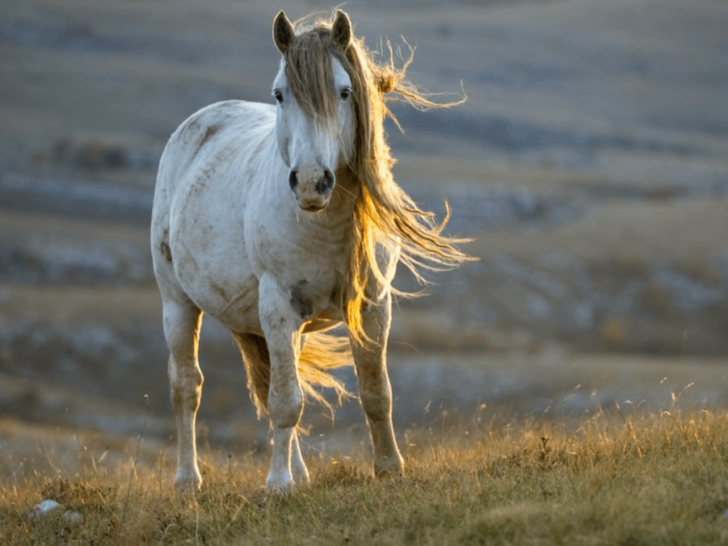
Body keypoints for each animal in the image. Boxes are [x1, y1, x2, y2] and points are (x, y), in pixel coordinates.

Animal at [151, 9, 469, 494]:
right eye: (280, 94)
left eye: (344, 91)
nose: (310, 182)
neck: (326, 223)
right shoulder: (278, 306)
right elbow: (285, 401)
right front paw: (277, 484)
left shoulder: (374, 305)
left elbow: (375, 391)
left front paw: (388, 467)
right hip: (179, 303)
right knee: (187, 387)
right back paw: (189, 480)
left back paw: (300, 474)